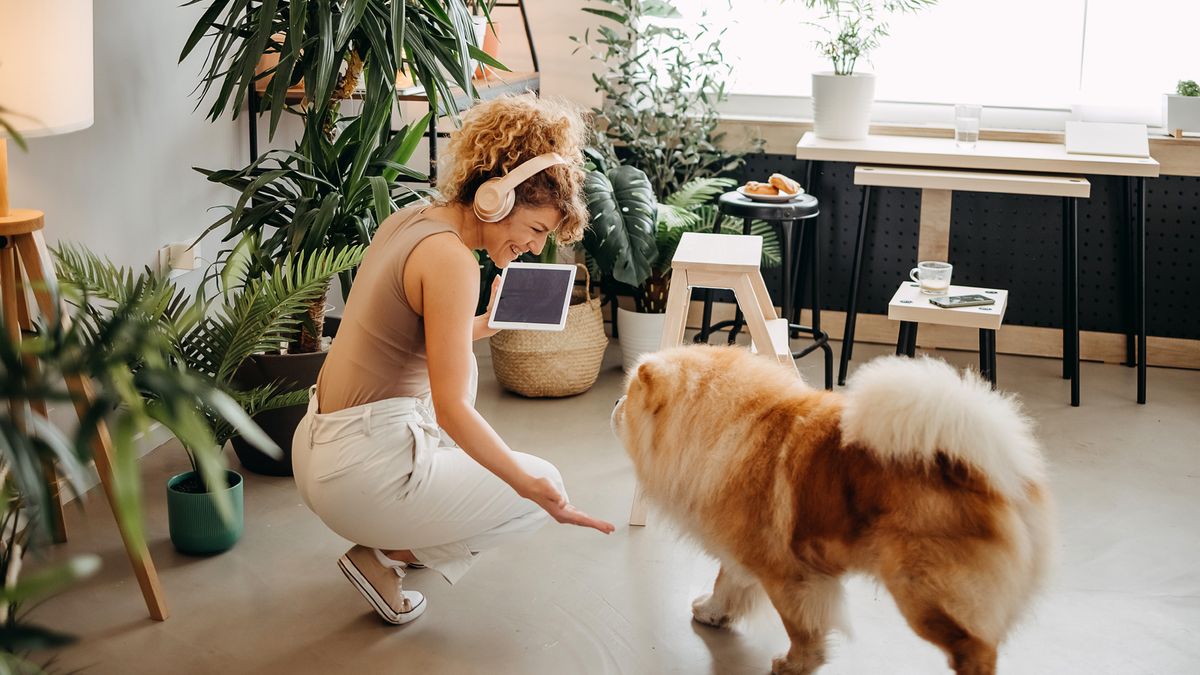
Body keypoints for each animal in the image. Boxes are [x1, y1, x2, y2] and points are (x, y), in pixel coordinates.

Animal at [614, 345, 1056, 672]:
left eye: (630, 395)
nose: (616, 400)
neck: (725, 428)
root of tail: (989, 469)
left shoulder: (787, 575)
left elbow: (801, 628)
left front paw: (794, 664)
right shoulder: (744, 549)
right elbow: (728, 582)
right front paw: (710, 611)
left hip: (922, 590)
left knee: (975, 649)